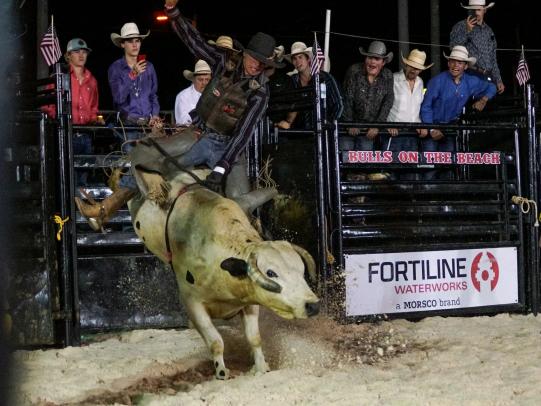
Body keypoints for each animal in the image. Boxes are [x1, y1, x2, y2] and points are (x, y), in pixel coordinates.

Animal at [128, 167, 318, 380]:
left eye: (301, 270)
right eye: (271, 272)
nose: (312, 305)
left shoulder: (250, 302)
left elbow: (254, 338)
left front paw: (261, 367)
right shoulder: (192, 303)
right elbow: (216, 341)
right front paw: (221, 372)